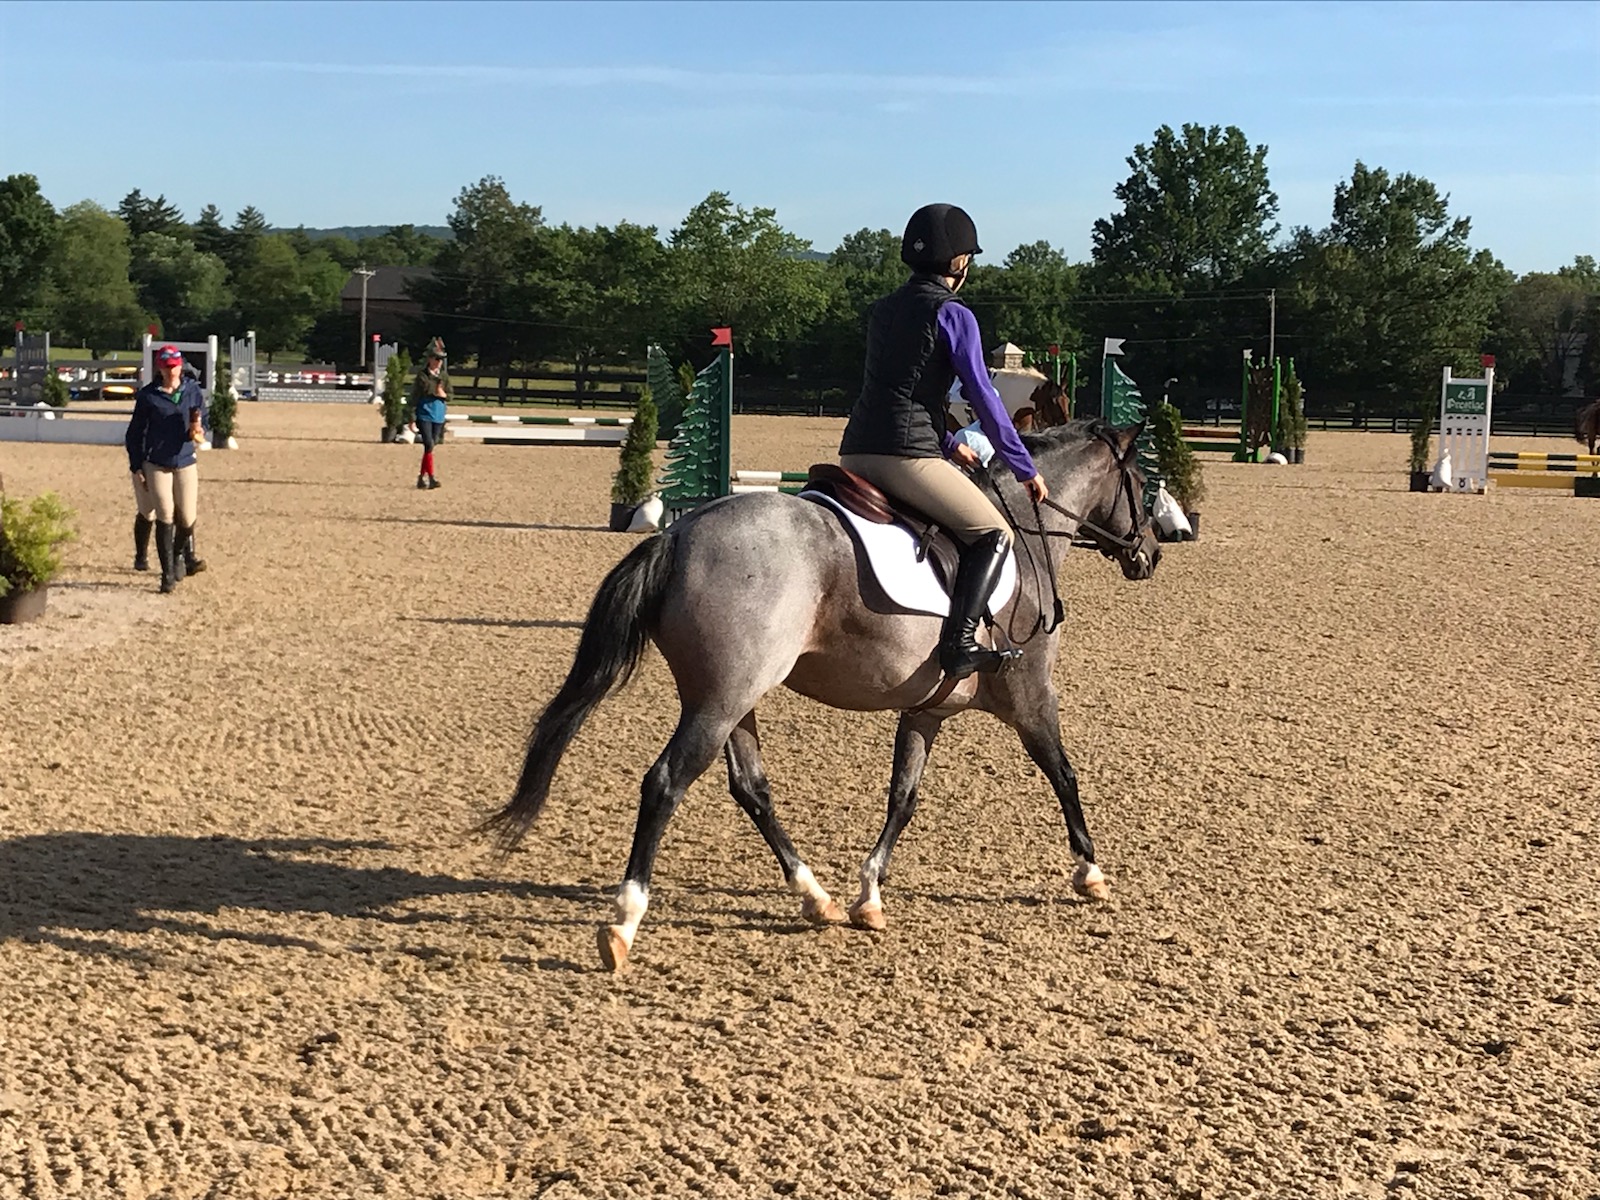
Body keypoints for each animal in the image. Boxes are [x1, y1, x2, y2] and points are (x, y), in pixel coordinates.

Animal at [483, 419, 1161, 971]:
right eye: (1144, 484)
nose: (1150, 555)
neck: (1023, 533)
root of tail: (679, 535)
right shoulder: (1030, 694)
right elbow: (1063, 773)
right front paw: (1091, 872)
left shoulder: (927, 709)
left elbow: (903, 798)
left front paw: (869, 895)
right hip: (721, 700)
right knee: (666, 782)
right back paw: (623, 923)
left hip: (731, 698)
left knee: (750, 788)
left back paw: (816, 898)